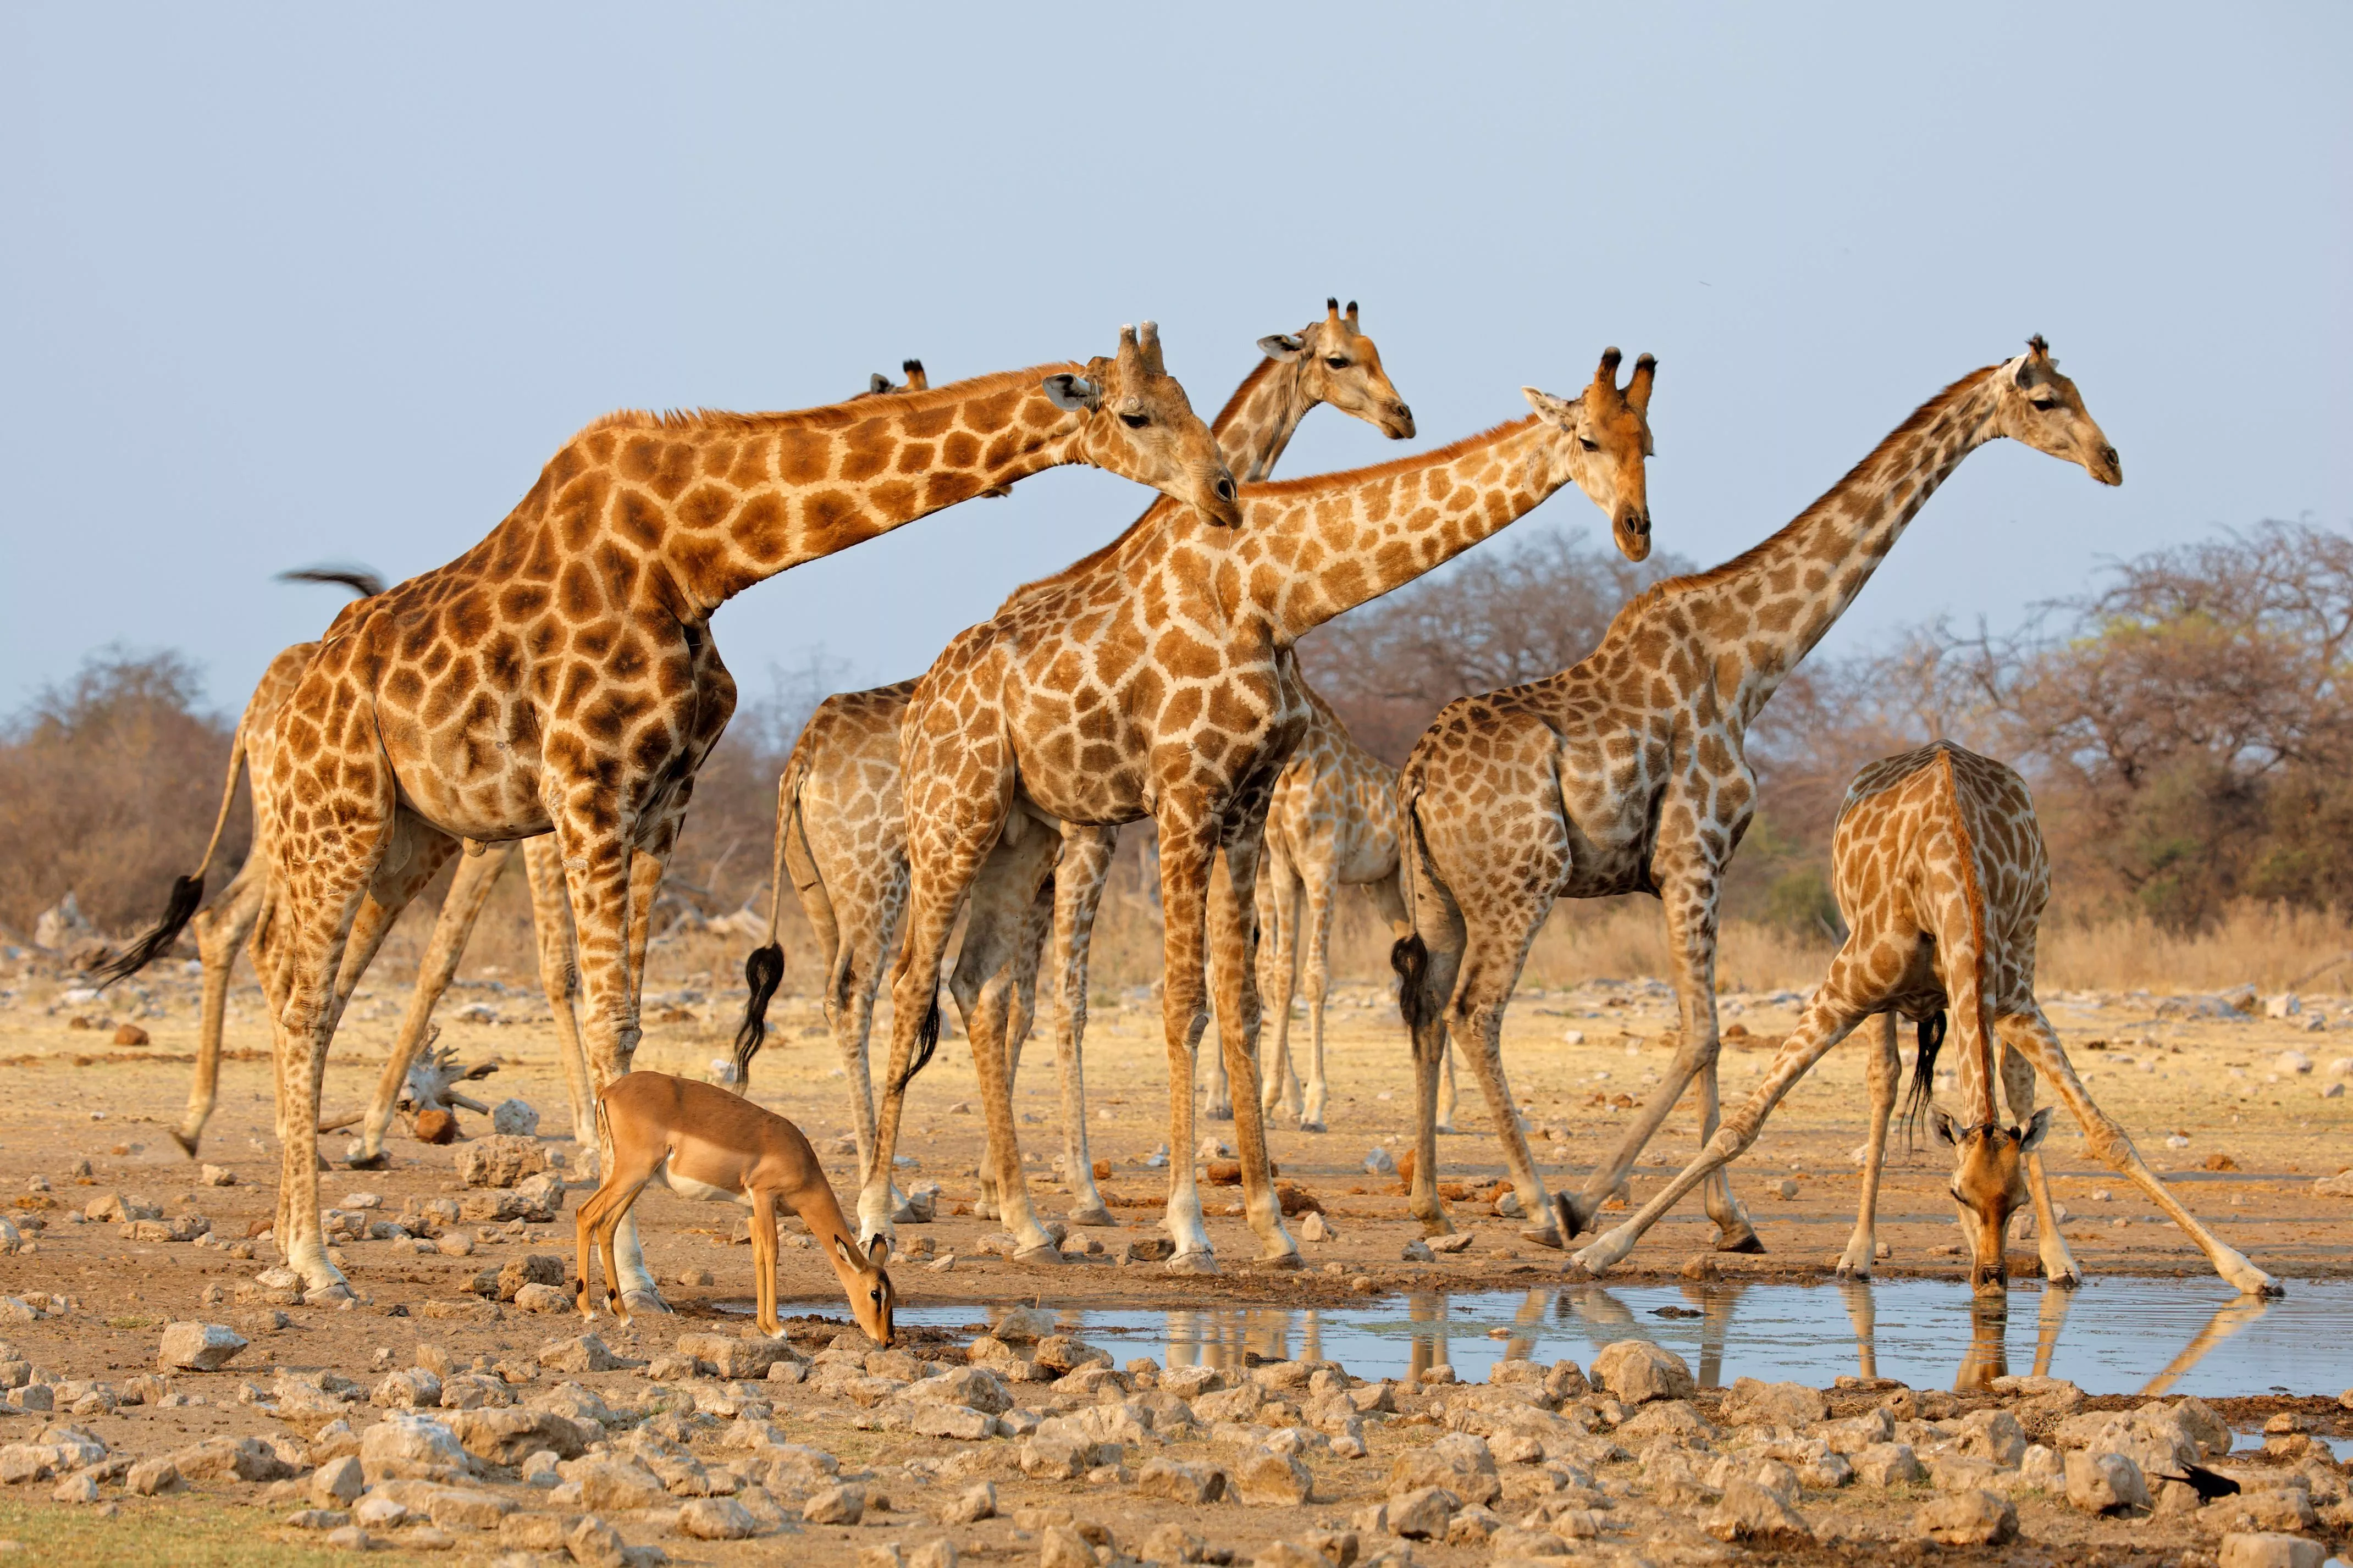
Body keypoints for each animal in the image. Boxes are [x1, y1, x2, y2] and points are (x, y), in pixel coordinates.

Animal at [575, 1073, 895, 1343]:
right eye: (876, 1293)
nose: (888, 1340)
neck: (802, 1163)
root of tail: (609, 1092)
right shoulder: (765, 1198)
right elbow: (773, 1252)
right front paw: (777, 1329)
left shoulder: (750, 1208)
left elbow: (758, 1256)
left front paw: (763, 1326)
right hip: (633, 1173)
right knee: (585, 1214)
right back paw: (588, 1311)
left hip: (638, 1181)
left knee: (607, 1225)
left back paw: (623, 1315)